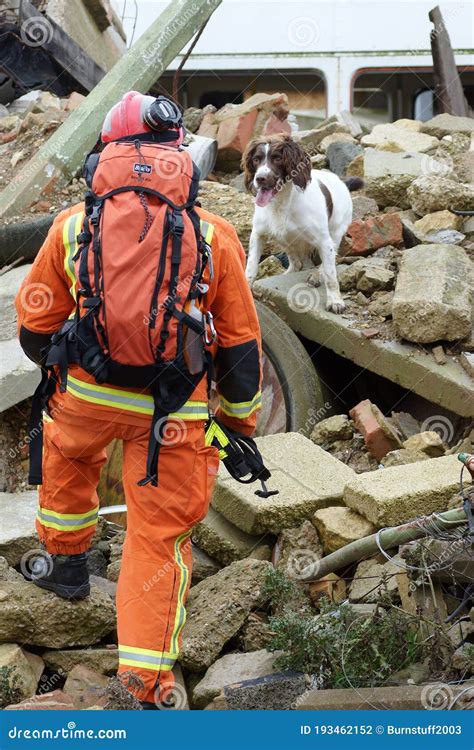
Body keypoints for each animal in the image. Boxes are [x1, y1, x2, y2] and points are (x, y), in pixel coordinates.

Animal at [241, 134, 362, 312]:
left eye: (277, 158)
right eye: (256, 159)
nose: (260, 178)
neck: (282, 203)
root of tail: (342, 182)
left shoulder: (324, 241)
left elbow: (330, 274)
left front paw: (335, 301)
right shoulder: (258, 235)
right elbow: (250, 267)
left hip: (336, 232)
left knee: (327, 262)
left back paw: (317, 275)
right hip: (285, 240)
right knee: (296, 262)